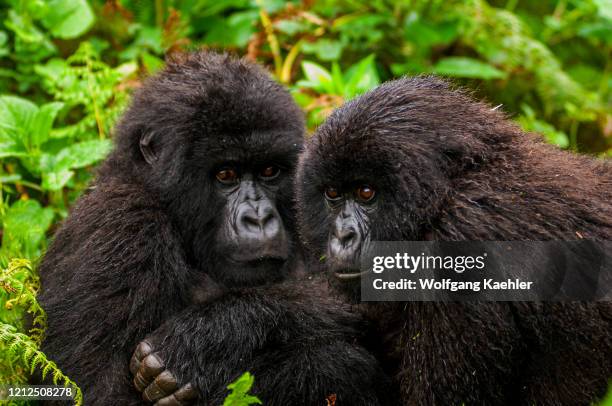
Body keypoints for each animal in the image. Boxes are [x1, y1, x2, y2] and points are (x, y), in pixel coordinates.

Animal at [38, 51, 392, 406]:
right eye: (226, 175)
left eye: (269, 171)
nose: (259, 218)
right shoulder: (121, 224)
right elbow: (96, 390)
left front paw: (208, 339)